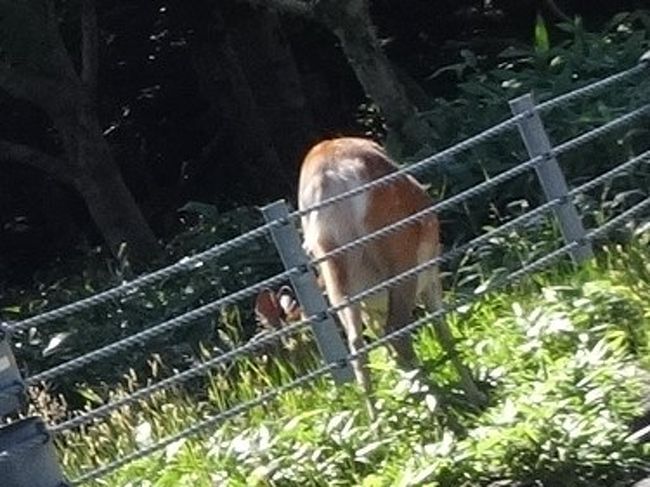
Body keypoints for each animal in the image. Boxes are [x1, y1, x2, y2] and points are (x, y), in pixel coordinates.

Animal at [296, 137, 485, 415]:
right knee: (398, 332)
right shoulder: (430, 278)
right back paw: (438, 408)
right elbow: (443, 330)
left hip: (337, 277)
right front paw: (474, 396)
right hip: (401, 265)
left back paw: (379, 422)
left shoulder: (371, 307)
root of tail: (330, 177)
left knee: (358, 346)